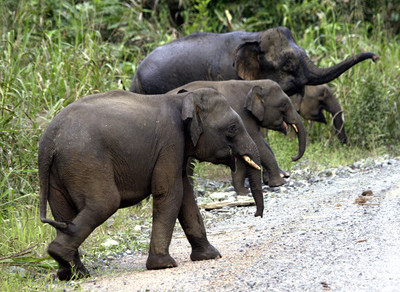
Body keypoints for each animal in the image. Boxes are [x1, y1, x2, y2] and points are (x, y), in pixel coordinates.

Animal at [36, 87, 262, 280]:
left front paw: (211, 256)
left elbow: (186, 196)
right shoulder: (171, 142)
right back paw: (66, 261)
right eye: (232, 128)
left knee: (64, 213)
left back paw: (73, 273)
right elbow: (170, 192)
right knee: (105, 203)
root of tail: (48, 141)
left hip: (60, 172)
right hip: (85, 161)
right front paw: (164, 265)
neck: (183, 98)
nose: (256, 215)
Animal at [169, 78, 306, 195]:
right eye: (284, 104)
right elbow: (258, 143)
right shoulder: (241, 114)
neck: (251, 84)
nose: (292, 157)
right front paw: (279, 183)